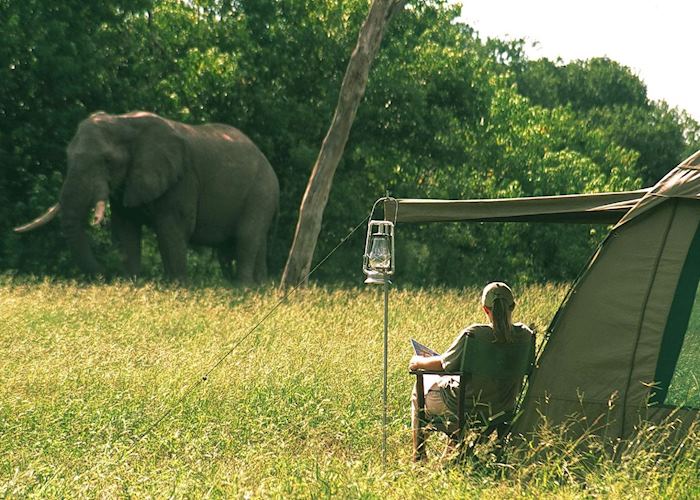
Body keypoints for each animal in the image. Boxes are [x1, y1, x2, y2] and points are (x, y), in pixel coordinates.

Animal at [13, 111, 278, 284]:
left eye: (107, 161)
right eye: (67, 156)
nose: (106, 275)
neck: (125, 122)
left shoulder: (182, 179)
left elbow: (172, 230)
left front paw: (178, 289)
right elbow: (126, 230)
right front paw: (133, 286)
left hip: (261, 192)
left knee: (245, 238)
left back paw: (243, 290)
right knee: (238, 246)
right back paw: (258, 289)